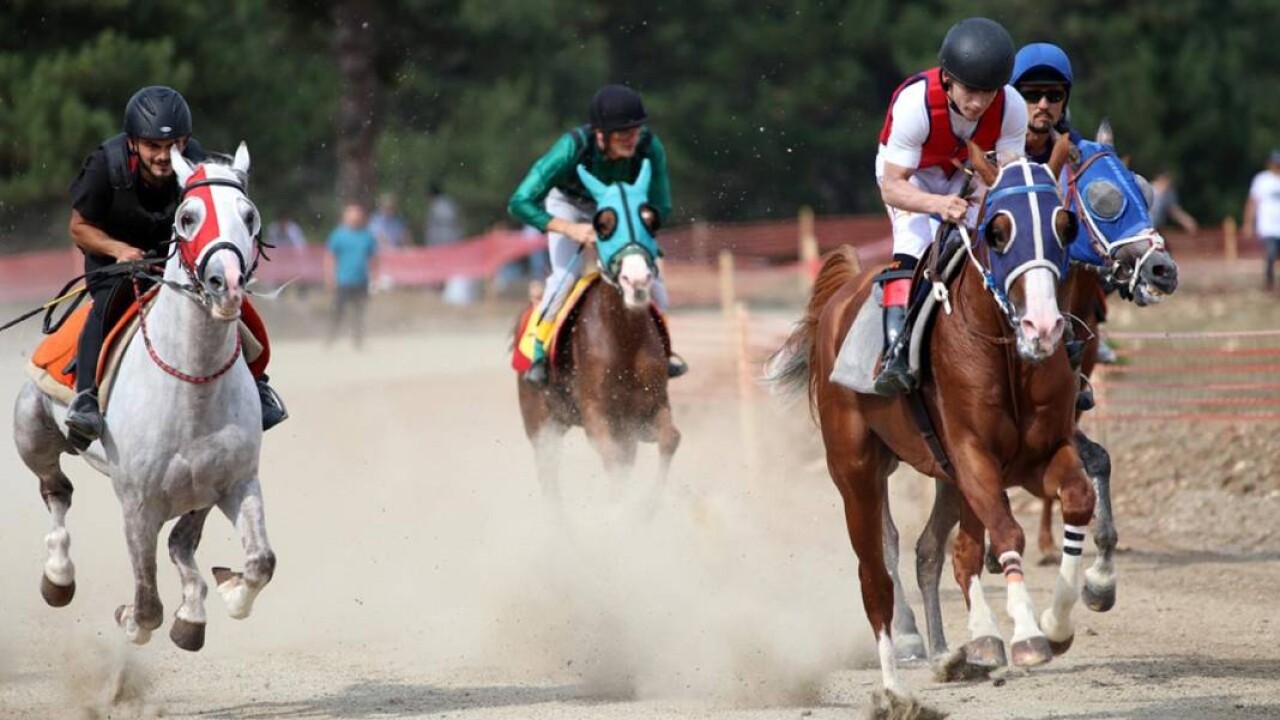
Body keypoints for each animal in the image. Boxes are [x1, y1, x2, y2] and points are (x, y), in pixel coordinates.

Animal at [13, 142, 275, 648]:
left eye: (249, 215)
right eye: (187, 217)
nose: (227, 285)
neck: (193, 387)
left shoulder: (234, 481)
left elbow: (260, 562)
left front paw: (226, 595)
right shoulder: (137, 503)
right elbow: (148, 601)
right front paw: (130, 619)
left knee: (181, 542)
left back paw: (192, 611)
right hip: (30, 431)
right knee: (56, 490)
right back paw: (58, 576)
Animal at [762, 142, 1095, 696]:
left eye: (1065, 226)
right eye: (998, 231)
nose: (1044, 327)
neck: (1005, 351)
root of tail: (839, 298)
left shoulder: (1042, 452)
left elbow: (1076, 500)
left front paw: (1055, 622)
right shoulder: (972, 455)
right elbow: (1005, 534)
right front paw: (1026, 634)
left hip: (939, 475)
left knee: (930, 550)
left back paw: (951, 647)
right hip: (855, 468)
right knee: (877, 568)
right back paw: (897, 677)